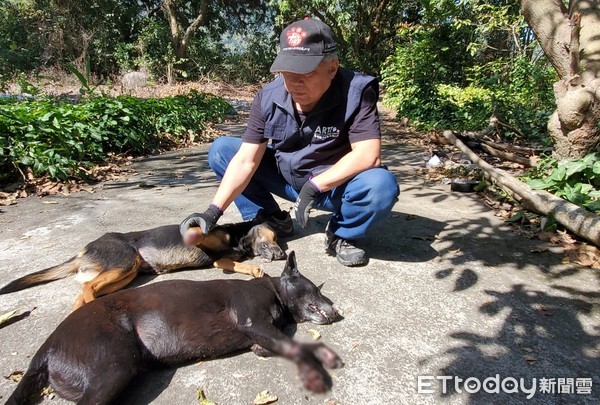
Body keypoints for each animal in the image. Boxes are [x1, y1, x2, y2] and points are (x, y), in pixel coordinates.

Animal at [0, 219, 286, 308]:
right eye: (273, 237)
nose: (283, 255)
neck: (238, 238)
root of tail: (85, 249)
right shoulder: (209, 247)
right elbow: (198, 230)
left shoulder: (219, 260)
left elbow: (240, 264)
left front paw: (253, 268)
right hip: (125, 263)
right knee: (87, 288)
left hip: (127, 272)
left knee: (81, 294)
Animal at [5, 251, 342, 402]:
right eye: (316, 289)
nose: (336, 311)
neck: (271, 289)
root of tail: (45, 348)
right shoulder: (253, 320)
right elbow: (295, 344)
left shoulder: (262, 335)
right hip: (113, 367)